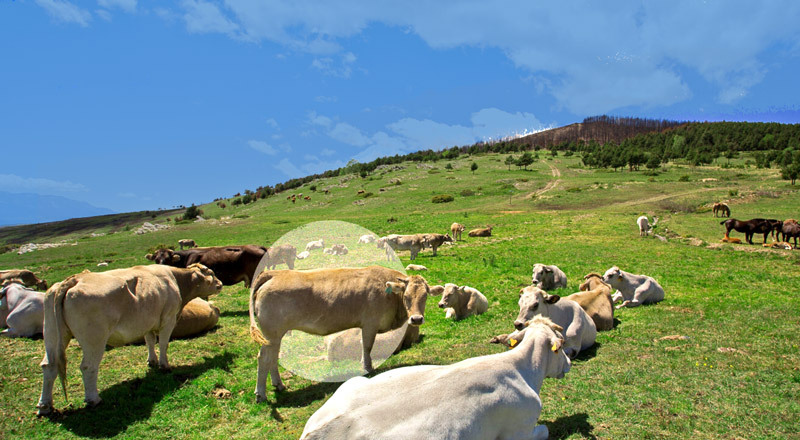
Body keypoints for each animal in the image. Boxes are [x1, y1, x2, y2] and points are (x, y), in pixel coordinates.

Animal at [36, 264, 222, 416]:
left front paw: (152, 361)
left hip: (52, 334)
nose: (220, 284)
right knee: (88, 367)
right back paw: (93, 399)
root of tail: (74, 279)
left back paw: (45, 406)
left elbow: (150, 341)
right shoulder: (168, 320)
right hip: (94, 340)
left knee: (49, 366)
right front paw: (164, 365)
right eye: (212, 273)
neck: (176, 280)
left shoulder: (147, 322)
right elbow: (163, 344)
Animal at [248, 264, 432, 398]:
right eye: (406, 297)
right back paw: (261, 394)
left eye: (425, 297)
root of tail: (275, 274)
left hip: (275, 335)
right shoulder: (370, 324)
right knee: (264, 358)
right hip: (271, 332)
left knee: (273, 357)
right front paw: (368, 367)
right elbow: (367, 346)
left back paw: (278, 384)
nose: (416, 319)